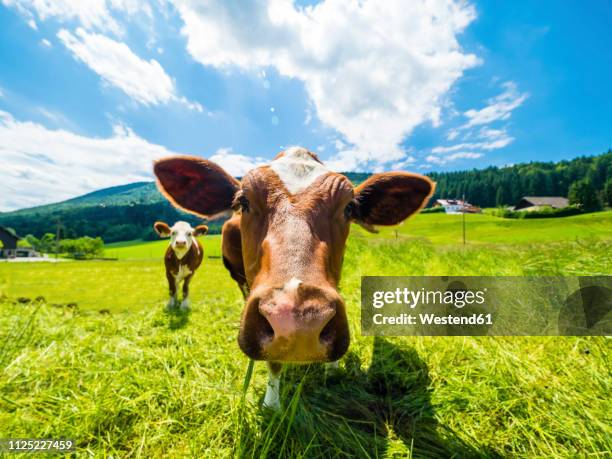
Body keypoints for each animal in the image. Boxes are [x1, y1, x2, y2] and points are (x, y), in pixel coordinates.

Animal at [157, 146, 436, 408]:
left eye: (349, 208)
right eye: (243, 202)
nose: (300, 323)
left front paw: (333, 368)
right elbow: (274, 361)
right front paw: (272, 404)